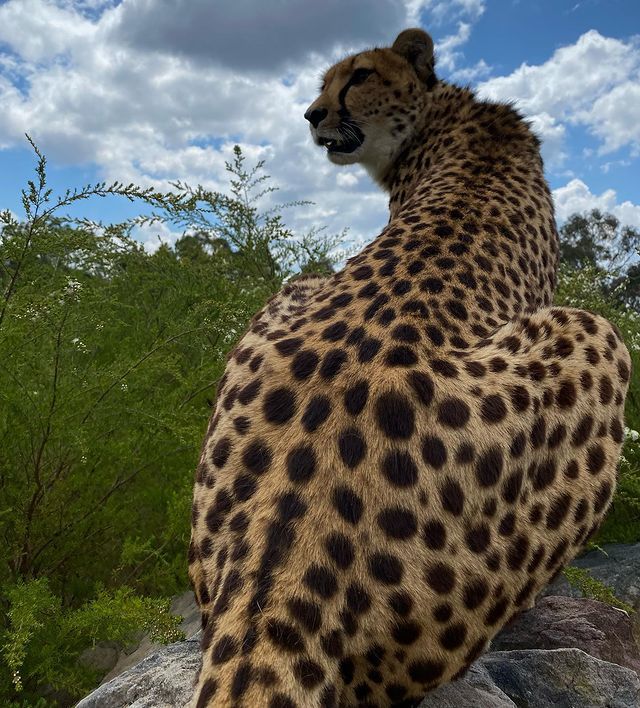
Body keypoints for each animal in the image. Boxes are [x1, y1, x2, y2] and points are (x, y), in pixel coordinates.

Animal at [188, 27, 632, 708]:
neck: (439, 113)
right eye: (323, 82)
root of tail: (272, 575)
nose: (312, 114)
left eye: (358, 77)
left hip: (295, 287)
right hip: (594, 332)